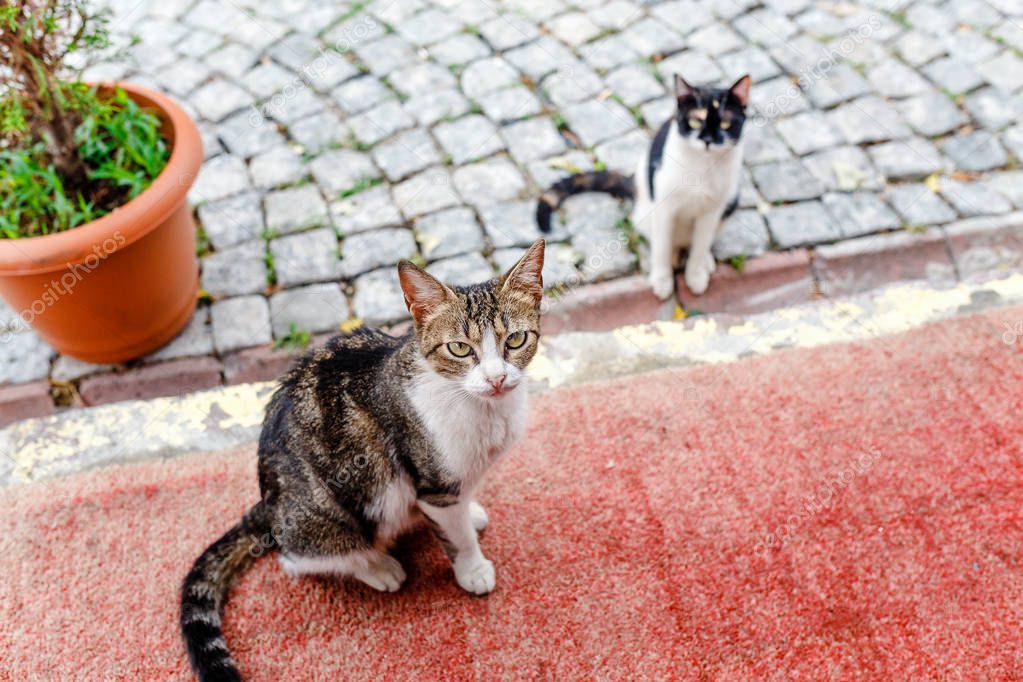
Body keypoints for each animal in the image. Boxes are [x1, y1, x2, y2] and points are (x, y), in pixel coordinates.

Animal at [180, 241, 548, 682]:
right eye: (460, 348)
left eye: (516, 340)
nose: (496, 379)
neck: (486, 413)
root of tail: (266, 502)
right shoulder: (433, 481)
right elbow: (456, 535)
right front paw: (472, 568)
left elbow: (463, 506)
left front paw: (471, 512)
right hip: (333, 512)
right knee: (299, 557)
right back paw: (377, 565)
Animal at [536, 73, 752, 300]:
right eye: (695, 121)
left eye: (726, 123)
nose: (708, 140)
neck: (702, 166)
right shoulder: (665, 208)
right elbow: (662, 246)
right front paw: (663, 280)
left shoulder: (712, 211)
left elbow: (700, 245)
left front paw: (695, 274)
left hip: (730, 203)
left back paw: (704, 260)